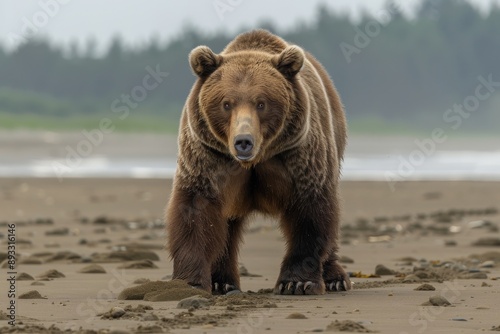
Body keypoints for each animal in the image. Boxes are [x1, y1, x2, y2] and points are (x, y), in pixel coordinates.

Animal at [166, 29, 350, 294]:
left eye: (261, 103)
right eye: (226, 103)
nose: (243, 141)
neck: (255, 160)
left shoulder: (297, 154)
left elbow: (311, 211)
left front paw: (296, 282)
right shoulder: (209, 156)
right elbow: (196, 210)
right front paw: (190, 280)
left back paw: (336, 278)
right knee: (227, 226)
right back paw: (222, 282)